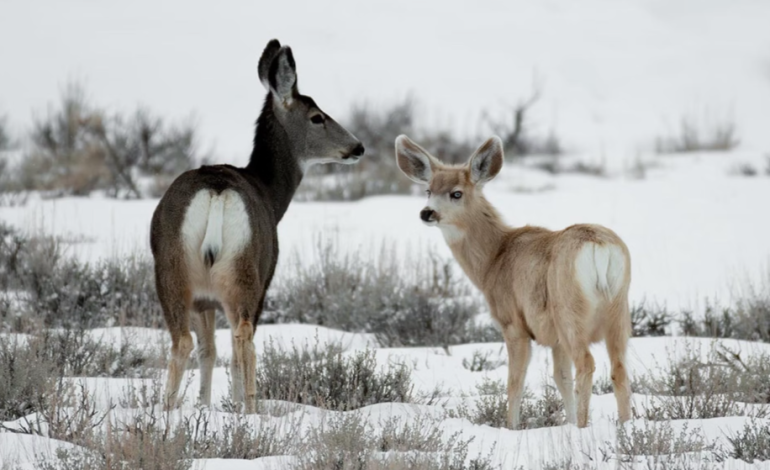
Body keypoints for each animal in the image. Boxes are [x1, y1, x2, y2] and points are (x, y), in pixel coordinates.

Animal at [153, 41, 366, 414]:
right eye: (317, 116)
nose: (357, 147)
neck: (268, 193)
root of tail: (217, 191)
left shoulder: (205, 300)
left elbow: (209, 351)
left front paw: (204, 405)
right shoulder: (266, 279)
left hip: (172, 270)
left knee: (183, 341)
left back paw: (166, 411)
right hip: (245, 270)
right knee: (243, 337)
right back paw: (251, 410)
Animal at [396, 134, 632, 428]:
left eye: (456, 193)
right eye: (428, 190)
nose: (427, 213)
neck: (494, 259)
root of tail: (599, 248)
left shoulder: (513, 323)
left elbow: (515, 382)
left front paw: (512, 427)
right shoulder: (554, 339)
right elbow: (561, 378)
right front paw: (565, 422)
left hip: (570, 310)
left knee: (586, 363)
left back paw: (583, 426)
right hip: (619, 310)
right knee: (619, 369)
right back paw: (625, 425)